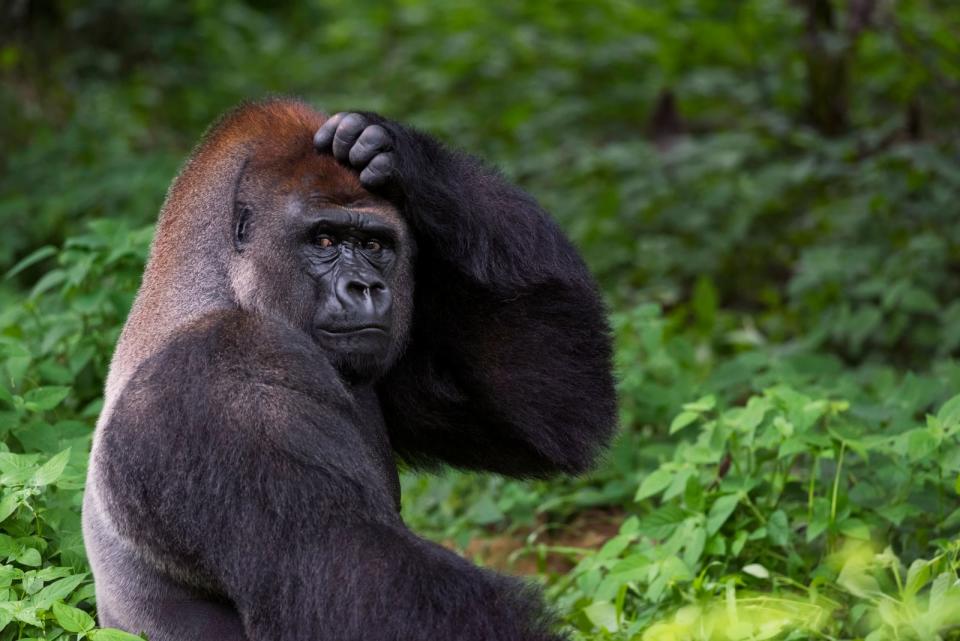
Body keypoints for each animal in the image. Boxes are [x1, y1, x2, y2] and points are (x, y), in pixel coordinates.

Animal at [82, 99, 616, 640]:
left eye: (375, 245)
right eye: (324, 239)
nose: (366, 287)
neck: (217, 289)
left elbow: (549, 413)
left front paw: (399, 154)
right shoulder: (224, 382)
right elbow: (366, 589)